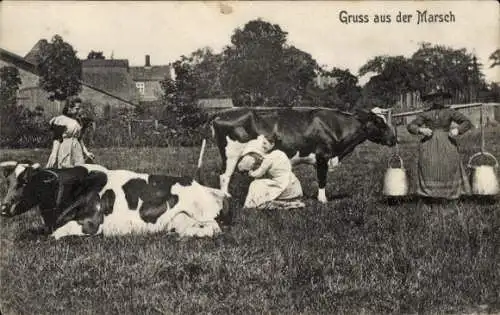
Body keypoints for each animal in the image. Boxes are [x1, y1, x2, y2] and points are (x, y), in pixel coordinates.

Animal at [0, 163, 229, 239]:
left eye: (26, 182)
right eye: (8, 181)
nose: (3, 208)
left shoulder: (91, 223)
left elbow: (55, 236)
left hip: (203, 215)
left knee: (213, 229)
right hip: (179, 219)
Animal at [209, 107, 396, 204]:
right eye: (379, 122)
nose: (394, 138)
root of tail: (220, 114)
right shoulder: (322, 157)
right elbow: (322, 180)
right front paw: (323, 200)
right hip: (230, 155)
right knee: (224, 176)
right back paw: (225, 197)